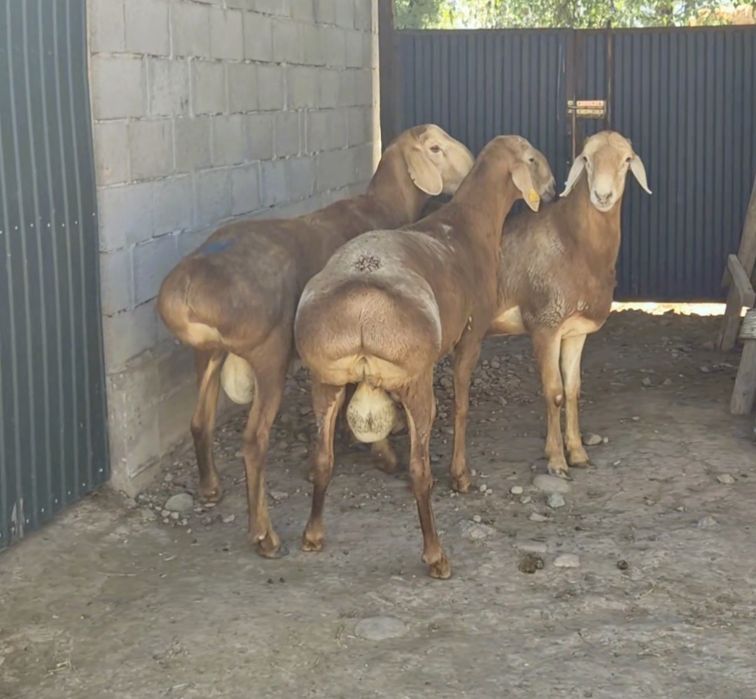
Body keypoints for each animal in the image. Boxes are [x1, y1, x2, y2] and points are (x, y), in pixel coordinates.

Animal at [157, 125, 474, 558]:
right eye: (435, 148)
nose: (472, 165)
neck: (381, 205)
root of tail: (186, 290)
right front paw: (383, 454)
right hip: (269, 353)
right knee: (253, 442)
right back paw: (264, 535)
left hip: (206, 352)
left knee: (199, 420)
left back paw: (209, 487)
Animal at [294, 135, 556, 578]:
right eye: (534, 159)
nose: (554, 189)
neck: (470, 223)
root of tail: (361, 311)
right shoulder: (470, 336)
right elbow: (462, 405)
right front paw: (461, 476)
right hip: (414, 379)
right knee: (420, 470)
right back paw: (436, 555)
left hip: (325, 381)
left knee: (323, 458)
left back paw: (312, 535)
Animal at [488, 130, 652, 478]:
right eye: (586, 159)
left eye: (627, 159)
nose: (602, 195)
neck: (573, 243)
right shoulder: (544, 325)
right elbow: (554, 392)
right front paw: (556, 461)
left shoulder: (576, 331)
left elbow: (573, 389)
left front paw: (577, 453)